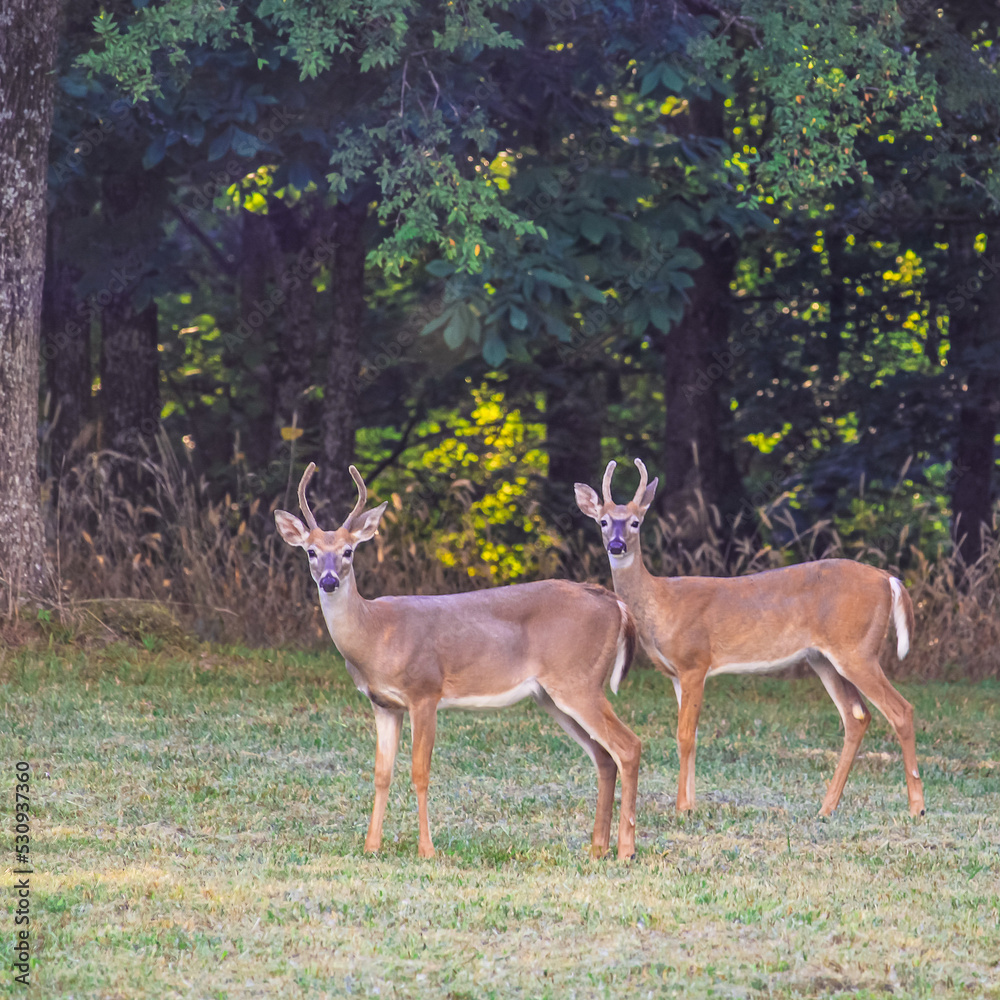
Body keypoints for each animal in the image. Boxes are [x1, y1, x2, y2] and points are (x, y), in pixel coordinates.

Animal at [278, 460, 644, 860]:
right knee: (604, 756)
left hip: (578, 680)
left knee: (628, 746)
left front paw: (426, 849)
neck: (375, 635)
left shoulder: (425, 691)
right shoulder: (383, 704)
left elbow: (420, 772)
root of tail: (616, 604)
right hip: (553, 695)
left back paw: (625, 849)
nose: (328, 581)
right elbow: (381, 773)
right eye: (311, 552)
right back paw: (598, 847)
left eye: (348, 552)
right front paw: (371, 846)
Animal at [576, 460, 924, 820]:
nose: (617, 546)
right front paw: (692, 803)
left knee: (901, 710)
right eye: (603, 521)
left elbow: (684, 735)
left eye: (635, 521)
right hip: (824, 658)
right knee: (857, 717)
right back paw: (827, 807)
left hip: (857, 649)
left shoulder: (695, 661)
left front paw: (683, 807)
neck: (660, 602)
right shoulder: (675, 673)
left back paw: (917, 807)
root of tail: (889, 578)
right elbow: (694, 735)